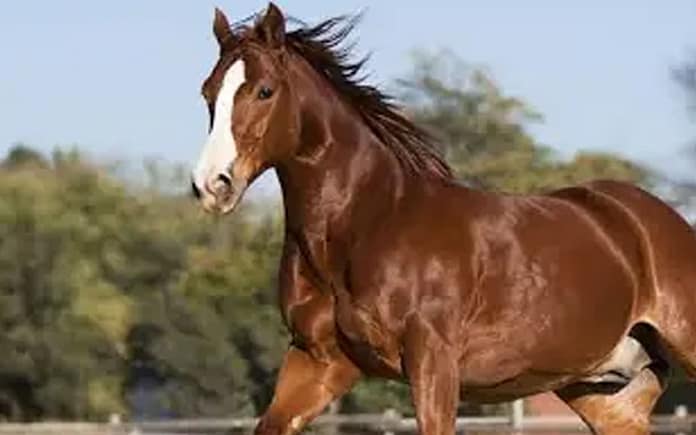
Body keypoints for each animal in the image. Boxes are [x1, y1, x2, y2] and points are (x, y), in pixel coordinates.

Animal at [191, 4, 696, 434]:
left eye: (264, 90)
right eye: (208, 93)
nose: (212, 184)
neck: (367, 224)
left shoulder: (432, 360)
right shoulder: (318, 360)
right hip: (598, 390)